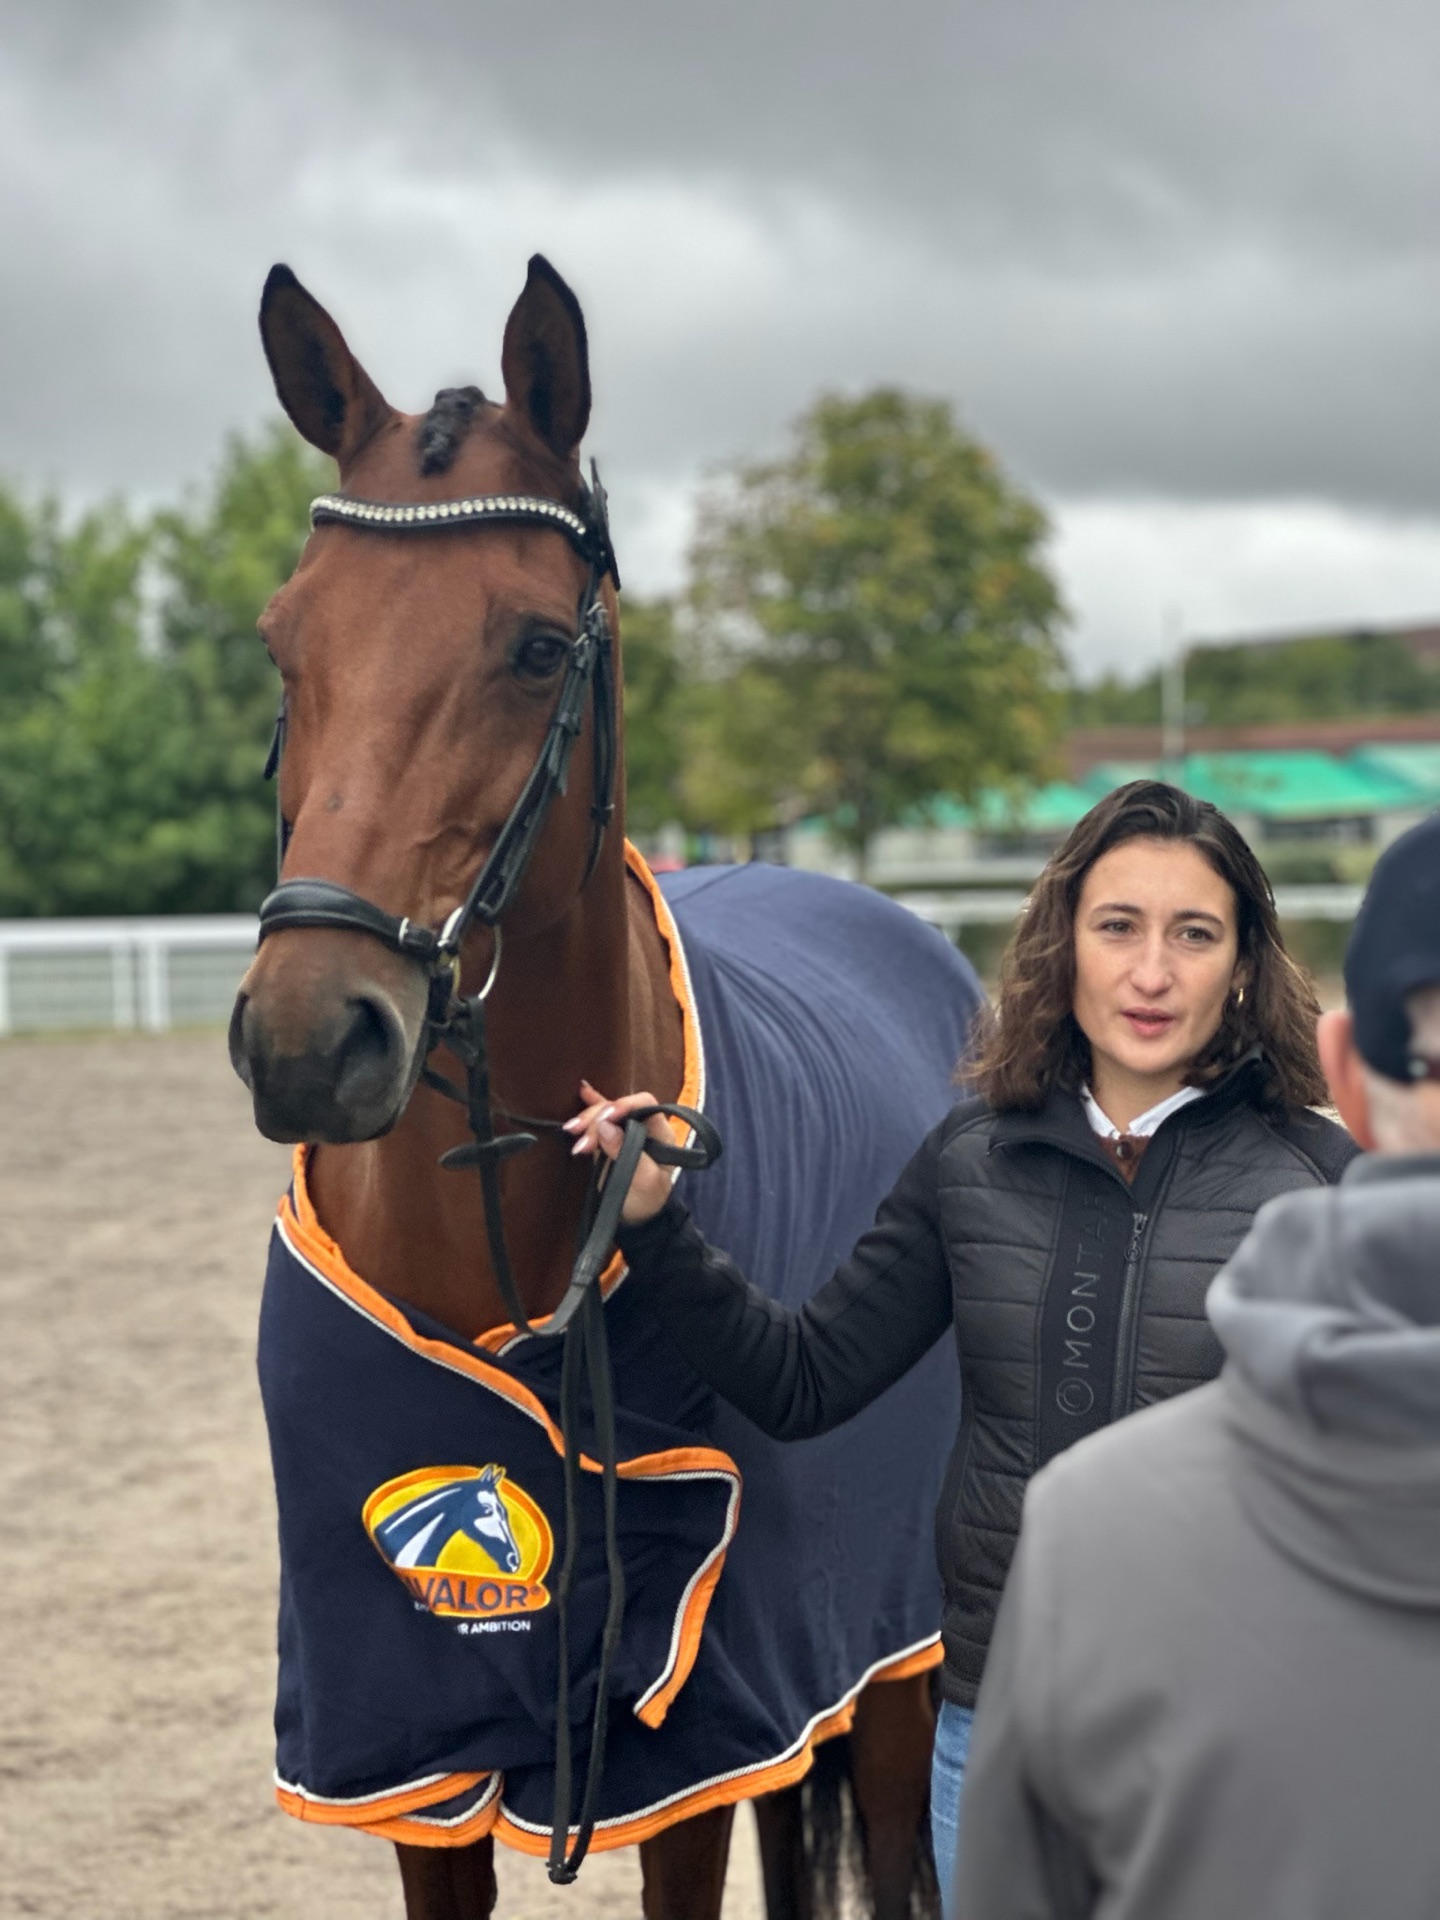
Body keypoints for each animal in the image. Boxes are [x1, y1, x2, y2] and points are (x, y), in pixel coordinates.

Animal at [231, 253, 982, 1920]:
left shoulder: (692, 1735)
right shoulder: (408, 1738)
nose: (310, 1037)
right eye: (282, 638)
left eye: (531, 646)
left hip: (894, 1661)